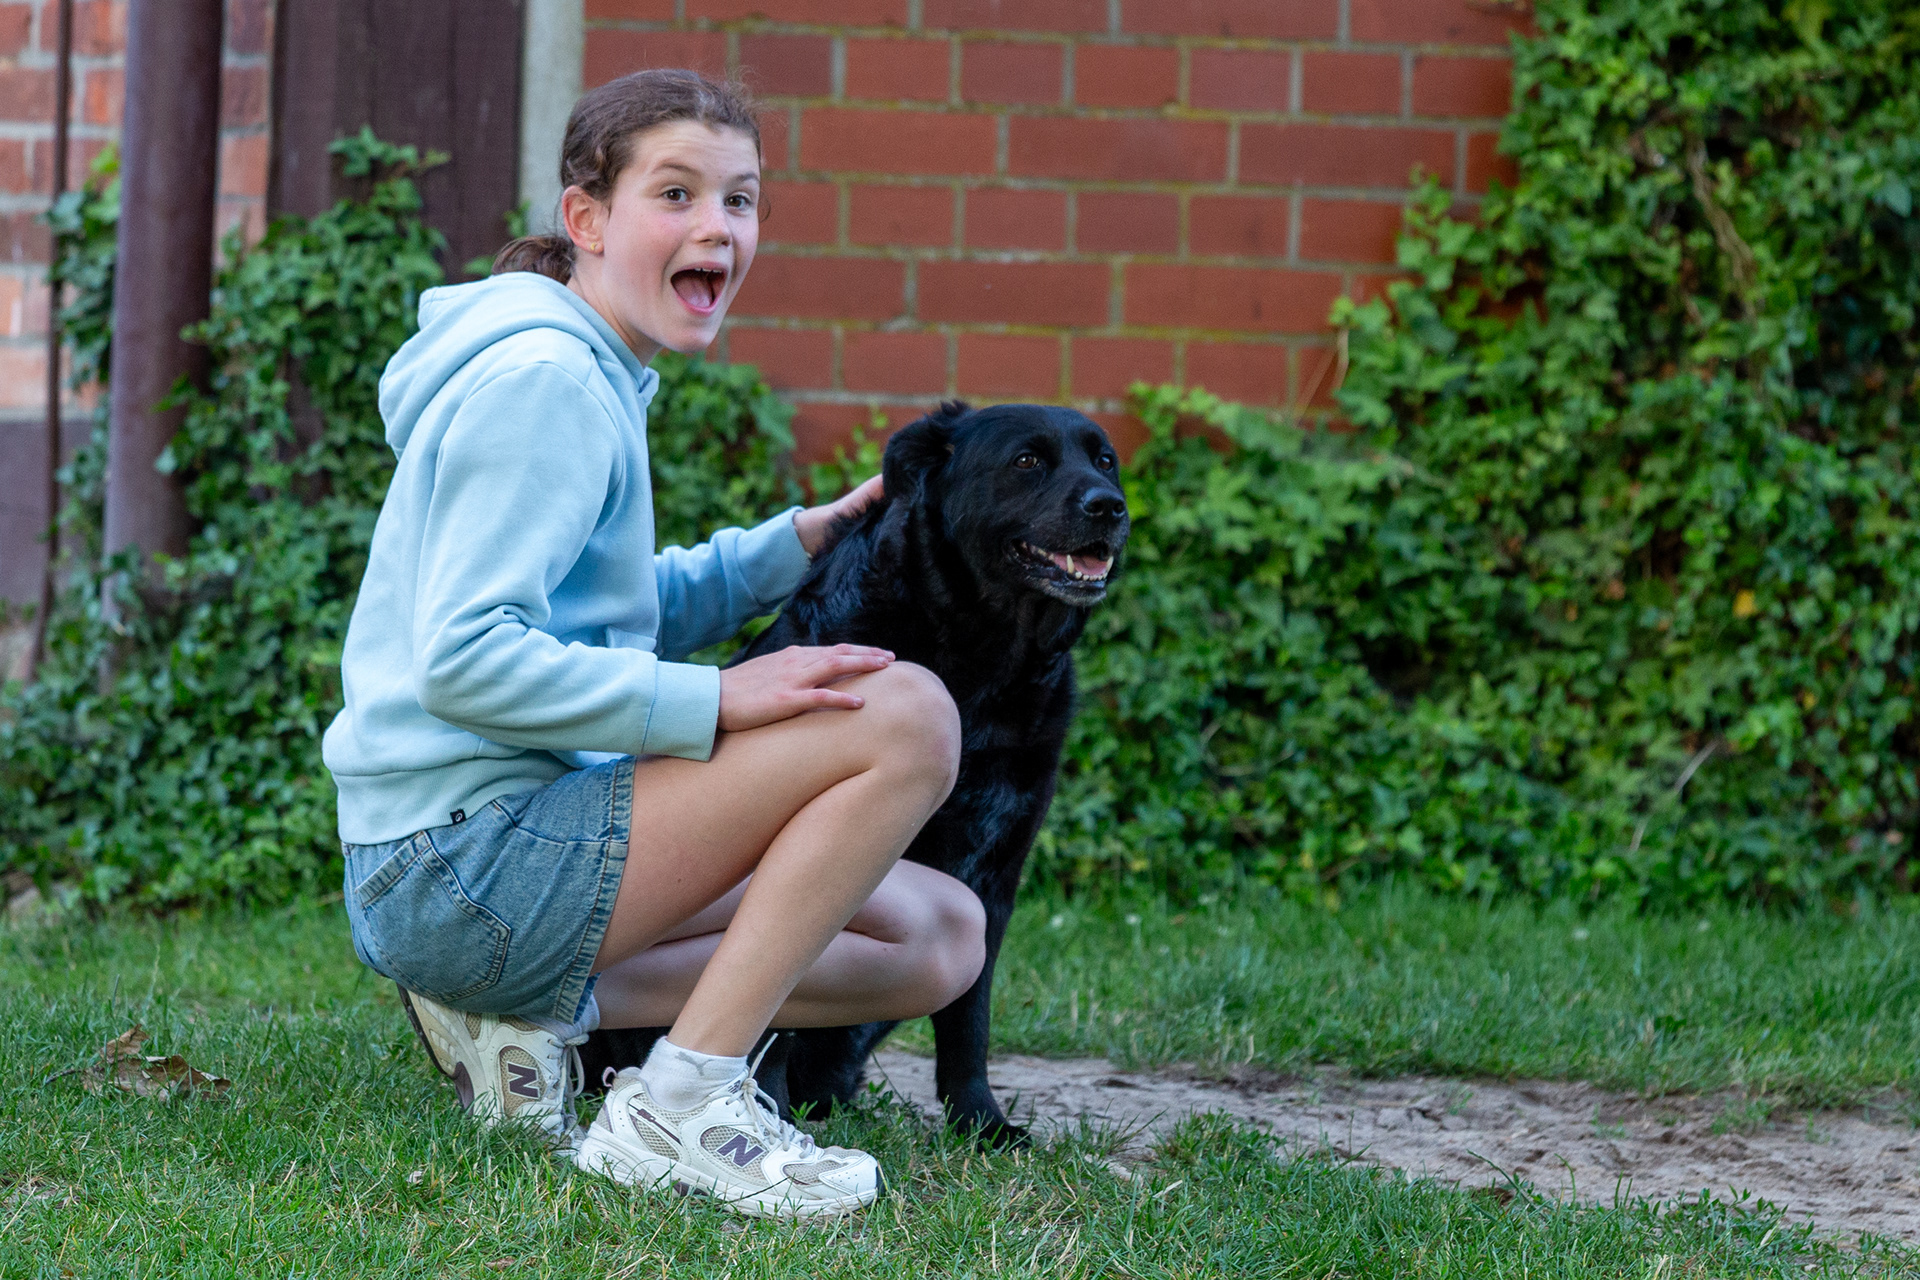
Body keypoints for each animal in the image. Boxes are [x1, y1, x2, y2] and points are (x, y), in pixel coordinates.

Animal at [581, 400, 1129, 1145]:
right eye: (1027, 461)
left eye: (1105, 461)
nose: (1111, 506)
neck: (978, 666)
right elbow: (779, 1013)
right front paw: (771, 1112)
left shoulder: (992, 878)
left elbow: (970, 1020)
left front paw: (981, 1123)